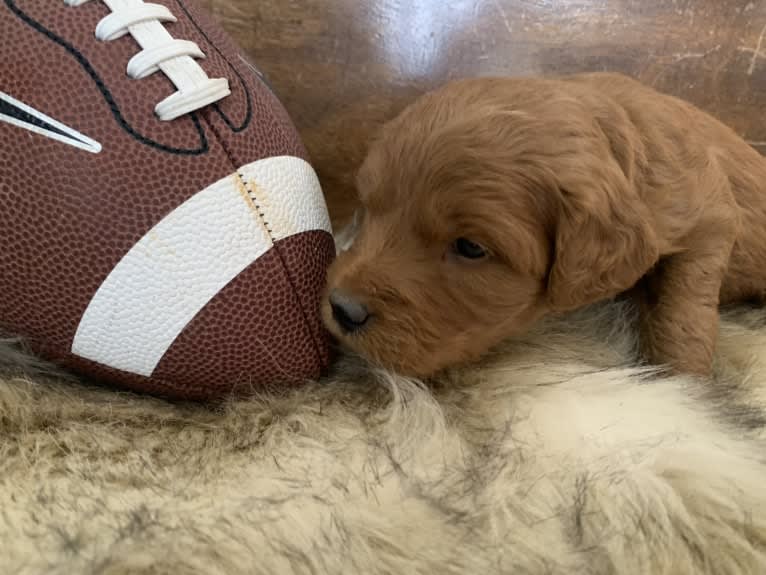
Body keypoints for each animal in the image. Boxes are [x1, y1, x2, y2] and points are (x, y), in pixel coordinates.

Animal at [320, 73, 766, 378]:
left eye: (470, 247)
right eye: (369, 207)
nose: (342, 308)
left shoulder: (711, 217)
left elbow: (684, 307)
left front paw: (681, 382)